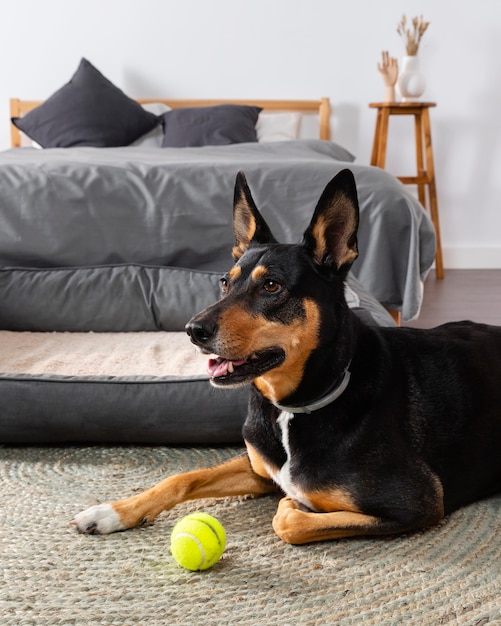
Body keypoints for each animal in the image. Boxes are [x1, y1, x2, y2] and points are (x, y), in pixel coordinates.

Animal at [72, 169, 498, 540]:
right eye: (224, 282)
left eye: (272, 286)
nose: (193, 331)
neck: (294, 405)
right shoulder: (259, 467)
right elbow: (182, 477)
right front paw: (112, 511)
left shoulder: (418, 502)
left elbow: (287, 520)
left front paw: (293, 507)